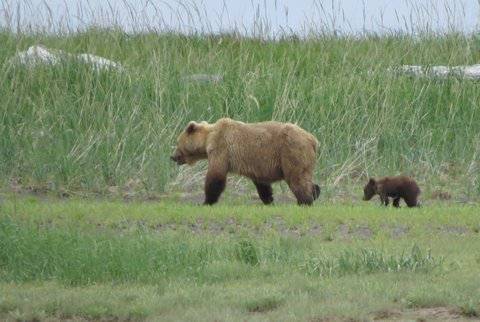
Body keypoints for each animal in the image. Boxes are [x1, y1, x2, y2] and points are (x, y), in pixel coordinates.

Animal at [171, 119, 320, 206]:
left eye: (177, 142)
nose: (172, 157)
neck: (207, 138)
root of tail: (313, 139)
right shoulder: (257, 165)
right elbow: (262, 184)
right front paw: (269, 199)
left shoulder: (221, 148)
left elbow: (216, 176)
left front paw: (207, 201)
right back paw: (316, 192)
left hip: (291, 151)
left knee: (296, 178)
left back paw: (305, 201)